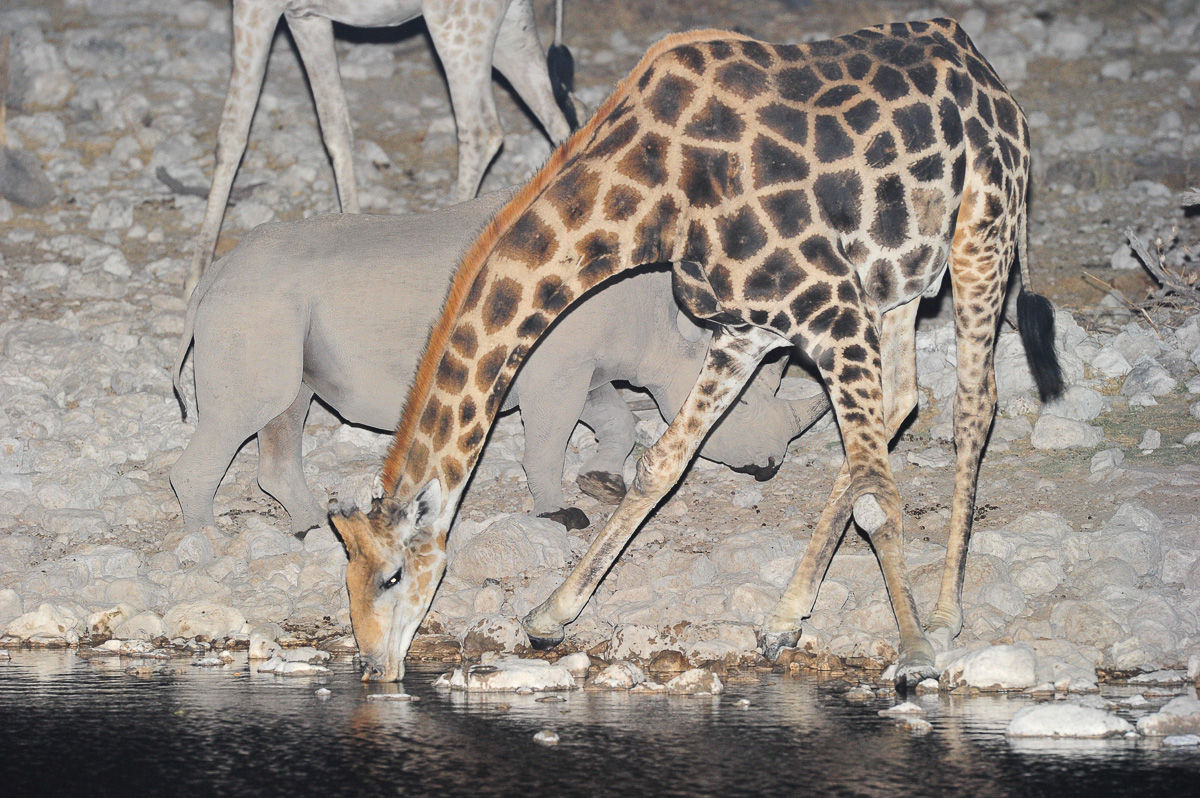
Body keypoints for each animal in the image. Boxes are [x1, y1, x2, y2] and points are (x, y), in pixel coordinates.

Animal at [171, 190, 829, 536]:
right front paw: (561, 514)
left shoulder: (584, 368)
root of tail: (211, 279)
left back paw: (309, 530)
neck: (663, 318)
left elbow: (616, 420)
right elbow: (547, 442)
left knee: (285, 408)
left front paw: (601, 482)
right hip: (257, 304)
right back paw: (206, 541)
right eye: (742, 402)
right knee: (247, 411)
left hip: (275, 309)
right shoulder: (556, 376)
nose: (771, 466)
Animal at [185, 0, 576, 295]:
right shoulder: (306, 17)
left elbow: (232, 133)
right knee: (562, 122)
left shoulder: (255, 7)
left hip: (456, 30)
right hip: (510, 30)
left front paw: (194, 281)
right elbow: (335, 128)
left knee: (481, 131)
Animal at [328, 19, 1064, 687]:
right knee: (903, 400)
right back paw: (782, 618)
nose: (373, 668)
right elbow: (660, 463)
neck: (656, 196)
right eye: (348, 578)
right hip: (900, 278)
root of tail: (994, 81)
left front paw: (912, 655)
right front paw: (549, 614)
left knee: (972, 406)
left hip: (980, 239)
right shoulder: (749, 328)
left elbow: (878, 494)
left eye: (393, 575)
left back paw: (941, 617)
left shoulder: (830, 307)